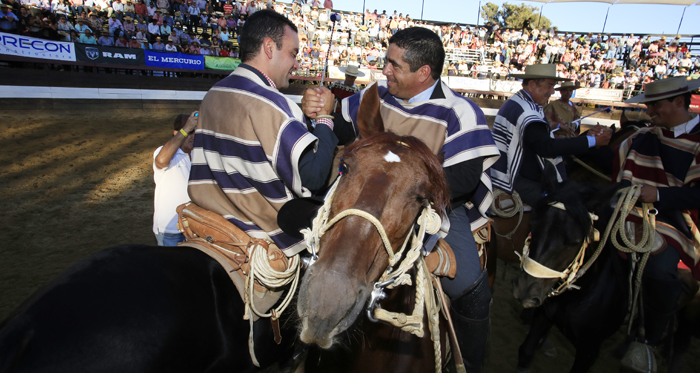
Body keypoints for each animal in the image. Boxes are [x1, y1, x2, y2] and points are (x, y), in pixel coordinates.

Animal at [508, 170, 628, 370]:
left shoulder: (589, 350)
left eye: (575, 242)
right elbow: (525, 351)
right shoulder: (544, 315)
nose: (524, 291)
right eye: (534, 223)